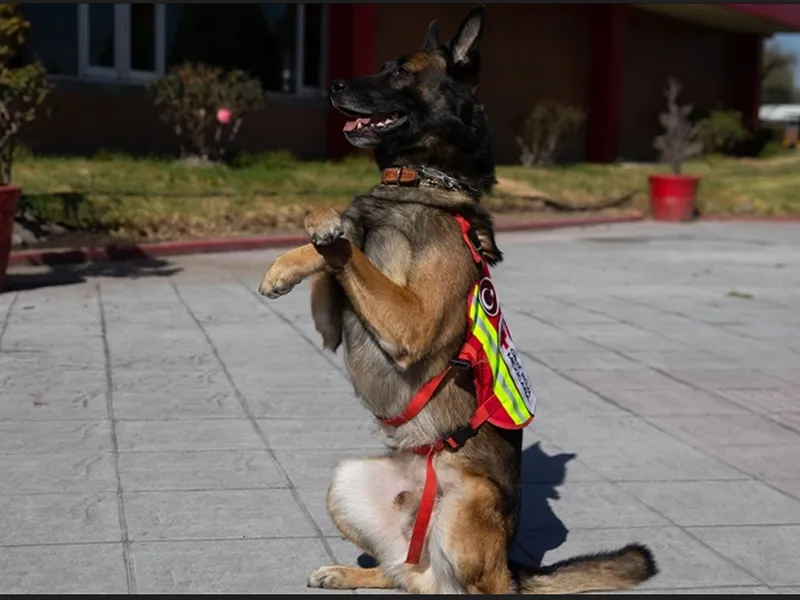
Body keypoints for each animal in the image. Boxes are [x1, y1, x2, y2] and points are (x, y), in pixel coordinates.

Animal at [260, 5, 660, 596]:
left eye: (402, 72)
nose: (332, 85)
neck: (419, 179)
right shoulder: (333, 322)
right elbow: (334, 250)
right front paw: (283, 265)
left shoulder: (411, 321)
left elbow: (346, 244)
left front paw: (325, 224)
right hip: (348, 481)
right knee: (397, 571)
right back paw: (350, 572)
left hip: (467, 505)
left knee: (484, 587)